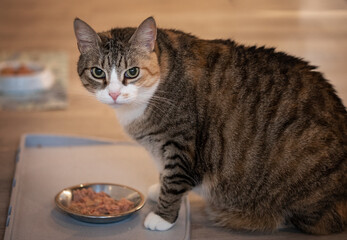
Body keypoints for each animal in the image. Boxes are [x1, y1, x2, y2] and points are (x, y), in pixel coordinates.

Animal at [74, 16, 347, 234]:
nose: (114, 94)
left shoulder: (180, 144)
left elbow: (174, 181)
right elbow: (164, 173)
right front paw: (158, 188)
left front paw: (163, 217)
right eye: (98, 72)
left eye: (132, 72)